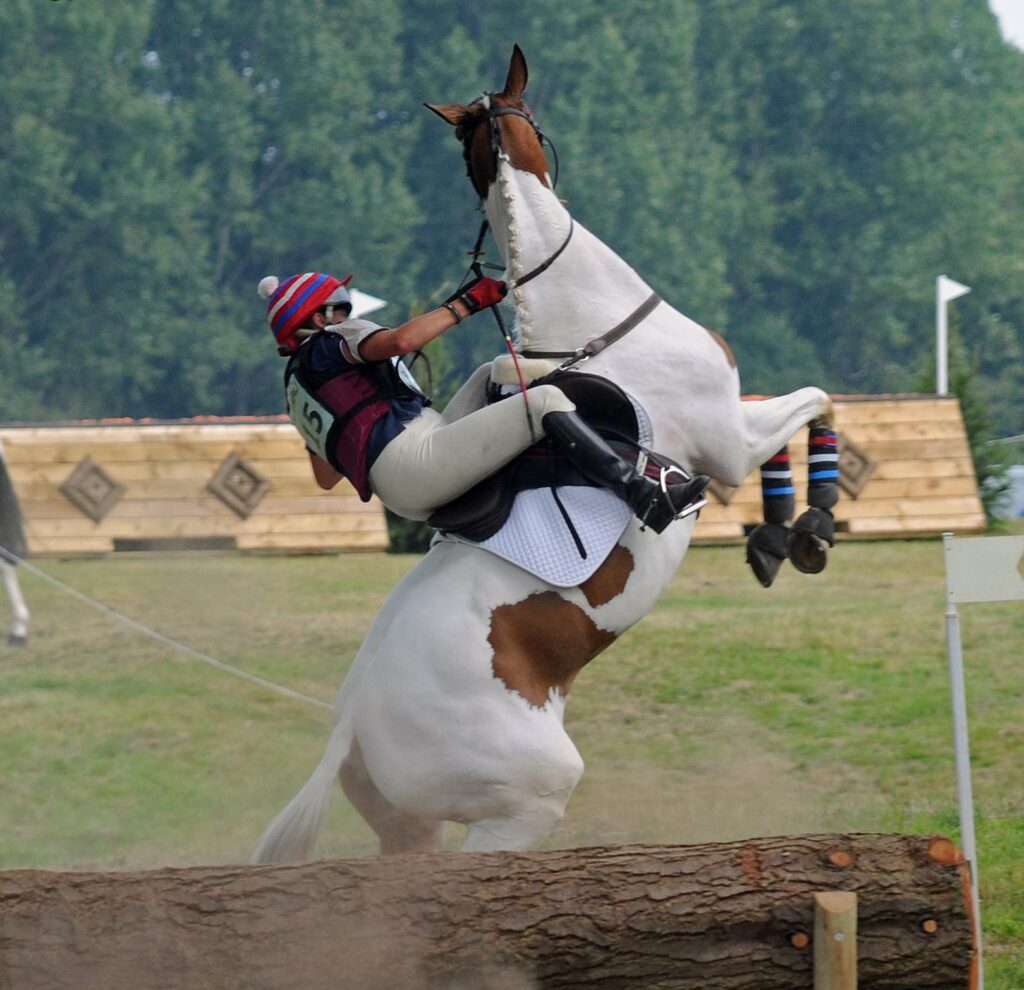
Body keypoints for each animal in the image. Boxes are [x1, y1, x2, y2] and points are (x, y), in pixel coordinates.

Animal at [251, 48, 835, 859]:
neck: (586, 315)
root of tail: (350, 729)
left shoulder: (731, 431)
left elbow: (808, 404)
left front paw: (781, 538)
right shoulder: (730, 444)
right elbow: (818, 400)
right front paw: (807, 528)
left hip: (410, 828)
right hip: (524, 798)